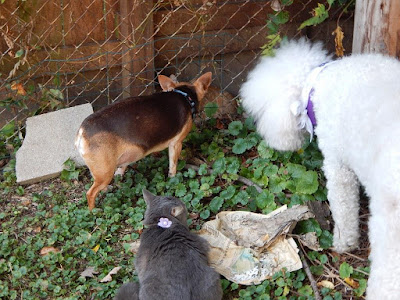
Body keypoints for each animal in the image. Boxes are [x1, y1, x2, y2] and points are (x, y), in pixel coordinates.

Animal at [75, 72, 212, 210]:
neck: (184, 95)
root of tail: (82, 131)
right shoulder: (176, 144)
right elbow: (172, 166)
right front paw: (172, 178)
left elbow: (122, 168)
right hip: (104, 173)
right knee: (90, 193)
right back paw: (93, 210)